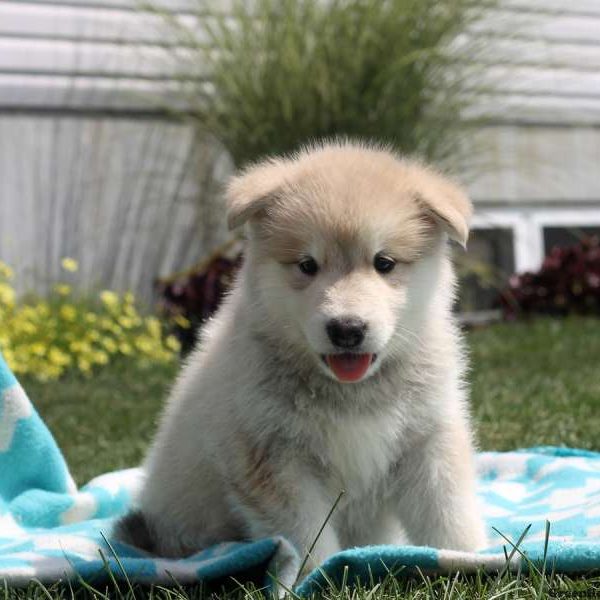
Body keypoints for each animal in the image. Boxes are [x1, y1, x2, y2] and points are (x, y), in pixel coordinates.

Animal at [116, 139, 488, 576]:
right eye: (308, 265)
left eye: (384, 263)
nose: (347, 329)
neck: (352, 392)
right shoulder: (275, 461)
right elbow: (309, 536)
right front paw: (320, 576)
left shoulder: (428, 441)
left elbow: (448, 514)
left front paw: (471, 560)